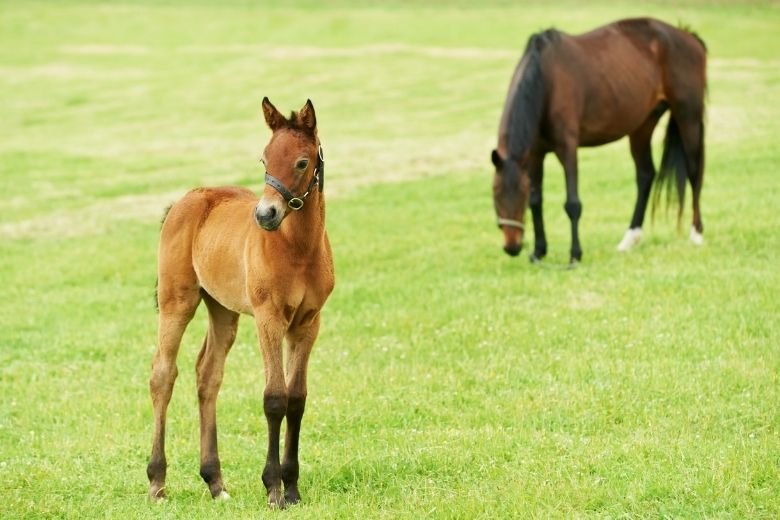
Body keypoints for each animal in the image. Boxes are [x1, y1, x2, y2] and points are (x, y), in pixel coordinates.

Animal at [146, 97, 336, 508]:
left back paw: (215, 482)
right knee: (163, 374)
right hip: (177, 301)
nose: (265, 214)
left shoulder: (308, 323)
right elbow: (275, 398)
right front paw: (274, 489)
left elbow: (297, 399)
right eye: (265, 159)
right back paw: (157, 482)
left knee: (208, 375)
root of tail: (186, 198)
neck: (298, 251)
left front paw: (292, 488)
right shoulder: (269, 318)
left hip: (223, 309)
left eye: (302, 162)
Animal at [494, 17, 708, 262]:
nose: (512, 247)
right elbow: (537, 200)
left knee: (694, 172)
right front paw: (539, 251)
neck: (546, 81)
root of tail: (689, 37)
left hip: (688, 116)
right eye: (495, 195)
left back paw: (697, 234)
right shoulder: (536, 154)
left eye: (518, 196)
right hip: (642, 126)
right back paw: (629, 239)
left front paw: (575, 254)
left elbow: (572, 203)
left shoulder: (567, 148)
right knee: (645, 175)